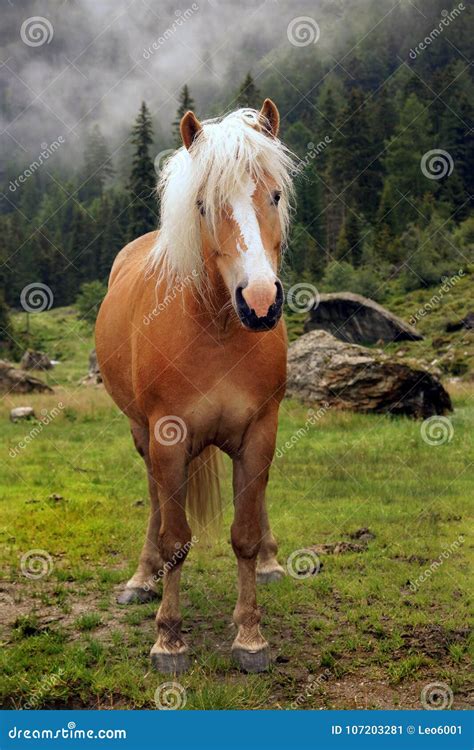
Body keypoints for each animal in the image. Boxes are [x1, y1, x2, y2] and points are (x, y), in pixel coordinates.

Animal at [95, 98, 298, 676]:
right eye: (204, 205)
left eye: (274, 195)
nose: (260, 301)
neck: (218, 328)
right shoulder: (167, 437)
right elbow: (175, 540)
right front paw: (168, 639)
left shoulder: (260, 432)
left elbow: (245, 534)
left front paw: (250, 636)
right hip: (142, 435)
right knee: (155, 501)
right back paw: (141, 580)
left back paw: (272, 564)